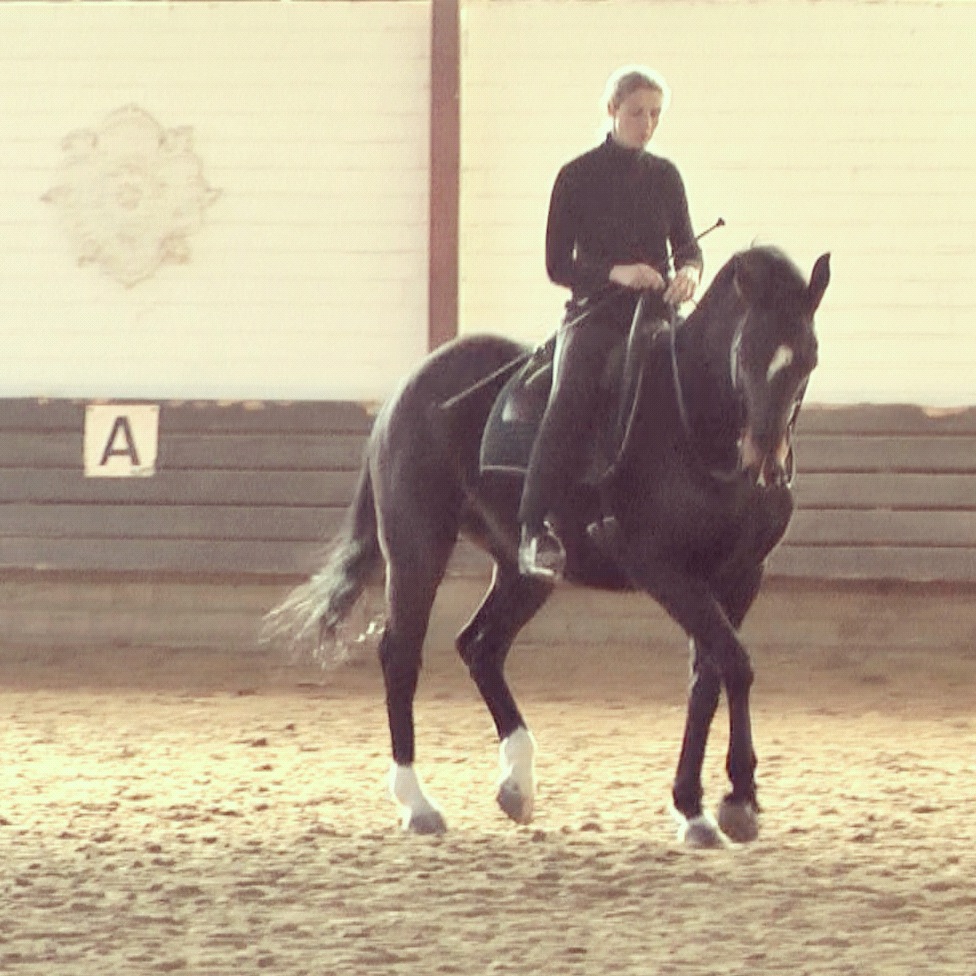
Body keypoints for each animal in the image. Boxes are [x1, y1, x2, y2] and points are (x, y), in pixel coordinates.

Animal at [264, 244, 831, 848]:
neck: (693, 424)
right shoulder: (662, 569)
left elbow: (711, 675)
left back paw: (517, 782)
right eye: (745, 352)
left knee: (481, 646)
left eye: (809, 359)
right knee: (401, 653)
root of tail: (407, 389)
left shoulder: (742, 575)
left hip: (525, 570)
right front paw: (736, 801)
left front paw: (699, 807)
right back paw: (418, 803)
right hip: (417, 547)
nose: (766, 462)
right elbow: (736, 664)